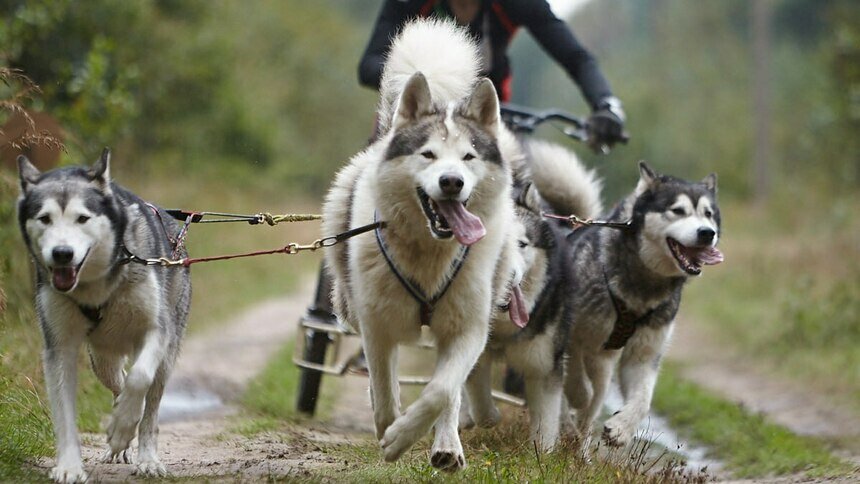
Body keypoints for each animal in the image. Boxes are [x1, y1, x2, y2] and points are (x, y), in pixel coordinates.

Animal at [16, 149, 191, 482]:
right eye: (44, 218)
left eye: (82, 218)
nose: (62, 253)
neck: (97, 288)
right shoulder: (59, 346)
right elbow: (64, 414)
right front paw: (70, 467)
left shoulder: (155, 329)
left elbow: (140, 377)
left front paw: (122, 428)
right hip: (102, 361)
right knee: (118, 383)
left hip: (167, 353)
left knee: (149, 408)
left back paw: (145, 455)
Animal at [320, 18, 512, 468]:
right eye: (427, 154)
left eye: (469, 157)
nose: (452, 182)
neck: (429, 252)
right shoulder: (377, 326)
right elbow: (384, 391)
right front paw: (390, 434)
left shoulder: (467, 329)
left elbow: (441, 390)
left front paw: (409, 438)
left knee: (453, 388)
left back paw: (448, 445)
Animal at [464, 139, 604, 450]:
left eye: (522, 244)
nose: (506, 276)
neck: (502, 330)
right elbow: (480, 401)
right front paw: (487, 415)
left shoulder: (544, 364)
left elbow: (546, 423)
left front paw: (543, 454)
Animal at [560, 162, 724, 446]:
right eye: (677, 210)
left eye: (708, 214)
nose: (707, 233)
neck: (643, 283)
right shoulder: (573, 334)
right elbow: (574, 373)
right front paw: (578, 392)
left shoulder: (643, 354)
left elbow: (643, 400)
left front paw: (621, 428)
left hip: (604, 365)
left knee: (589, 414)